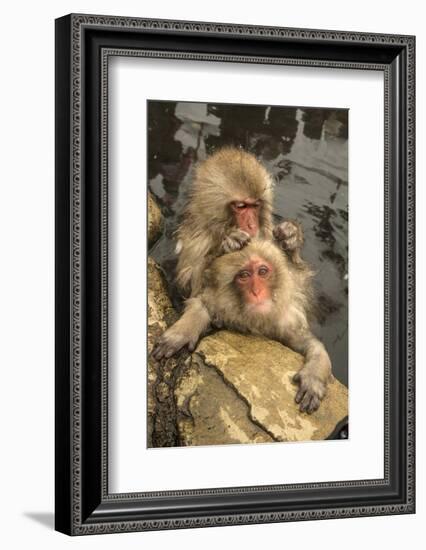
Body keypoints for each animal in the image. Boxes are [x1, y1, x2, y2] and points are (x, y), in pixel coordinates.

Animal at [153, 239, 332, 416]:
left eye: (262, 271)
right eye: (244, 275)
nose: (256, 291)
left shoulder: (284, 321)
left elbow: (309, 344)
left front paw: (313, 377)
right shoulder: (220, 300)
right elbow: (202, 304)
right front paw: (182, 332)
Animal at [175, 148, 304, 298]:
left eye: (256, 205)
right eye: (241, 206)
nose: (252, 225)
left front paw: (291, 235)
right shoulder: (196, 241)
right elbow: (189, 288)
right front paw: (228, 243)